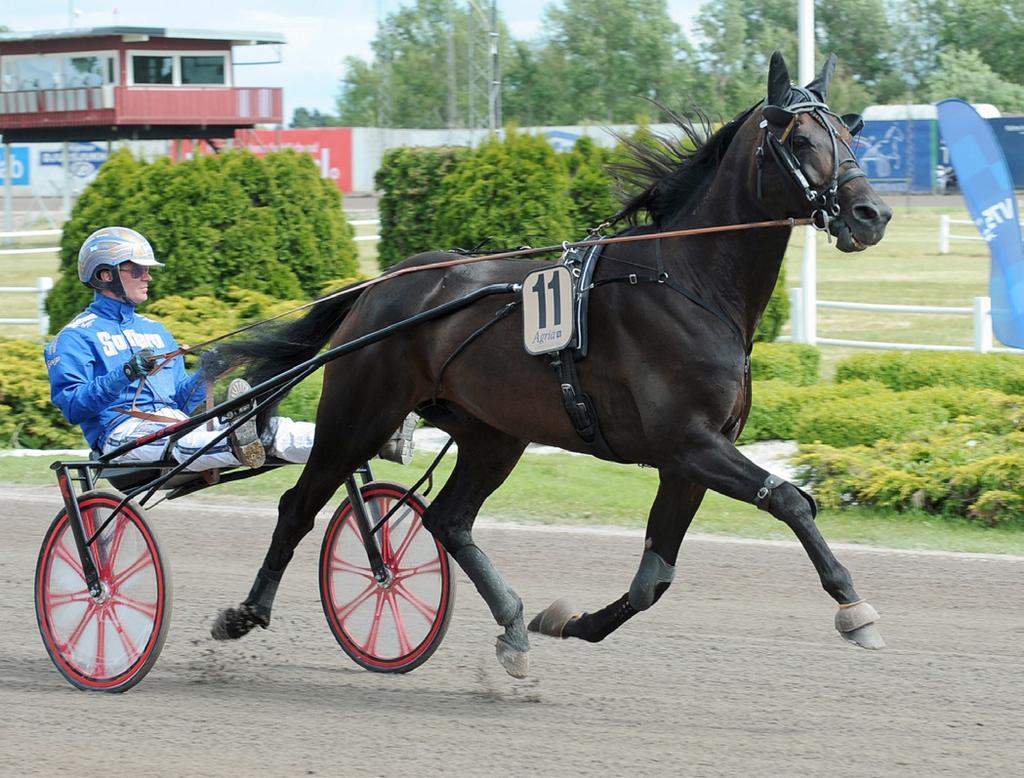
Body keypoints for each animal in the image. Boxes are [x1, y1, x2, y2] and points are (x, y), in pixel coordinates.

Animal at [214, 53, 888, 675]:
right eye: (800, 140)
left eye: (851, 136)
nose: (871, 215)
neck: (686, 281)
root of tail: (380, 285)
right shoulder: (689, 443)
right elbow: (792, 500)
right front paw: (853, 607)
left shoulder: (689, 460)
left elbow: (653, 579)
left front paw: (568, 621)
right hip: (359, 412)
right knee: (299, 505)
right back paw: (246, 612)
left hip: (492, 433)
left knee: (447, 520)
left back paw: (512, 624)